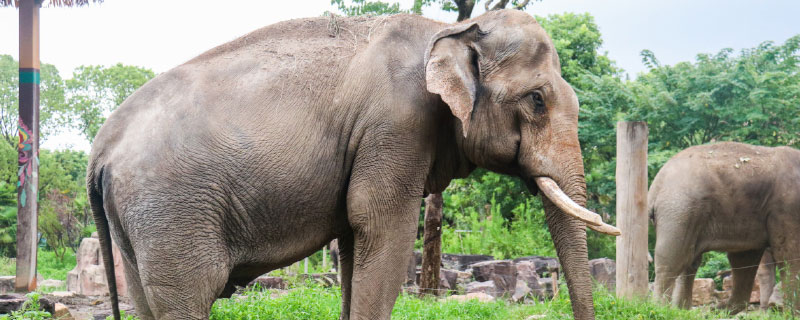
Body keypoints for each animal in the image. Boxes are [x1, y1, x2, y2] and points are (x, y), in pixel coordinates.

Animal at [87, 10, 620, 320]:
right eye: (537, 100)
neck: (445, 29)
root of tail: (99, 151)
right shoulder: (396, 126)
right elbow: (382, 227)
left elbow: (352, 237)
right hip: (174, 213)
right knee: (189, 296)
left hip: (139, 222)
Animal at [648, 142, 800, 312]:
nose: (715, 307)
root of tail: (655, 186)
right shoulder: (787, 208)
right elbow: (788, 256)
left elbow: (744, 258)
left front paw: (720, 308)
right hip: (679, 210)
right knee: (673, 260)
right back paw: (661, 309)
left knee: (690, 261)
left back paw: (682, 310)